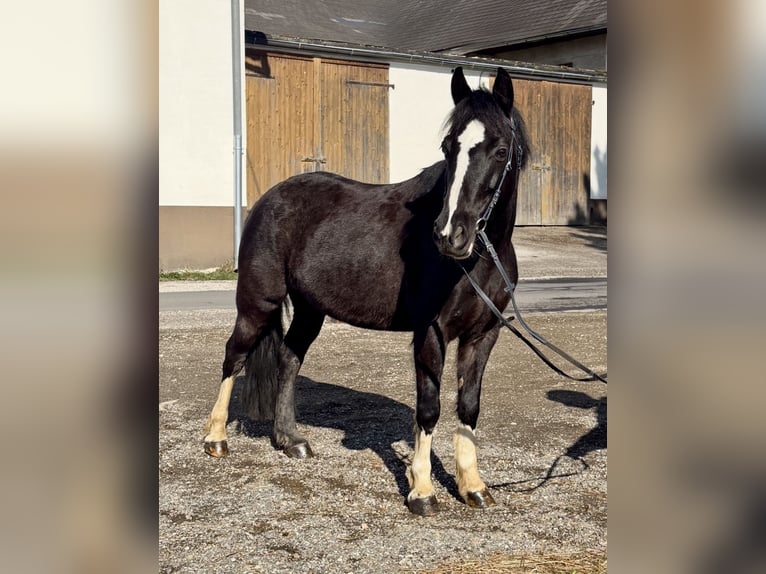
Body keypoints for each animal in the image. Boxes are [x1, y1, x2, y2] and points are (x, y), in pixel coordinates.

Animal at [203, 66, 530, 516]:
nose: (450, 235)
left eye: (500, 150)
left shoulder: (483, 335)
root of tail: (271, 198)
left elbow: (468, 406)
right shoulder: (431, 334)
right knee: (233, 358)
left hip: (310, 310)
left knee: (288, 358)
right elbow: (429, 408)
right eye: (448, 147)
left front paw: (472, 486)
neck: (478, 258)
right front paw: (421, 491)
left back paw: (290, 440)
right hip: (257, 303)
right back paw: (216, 439)